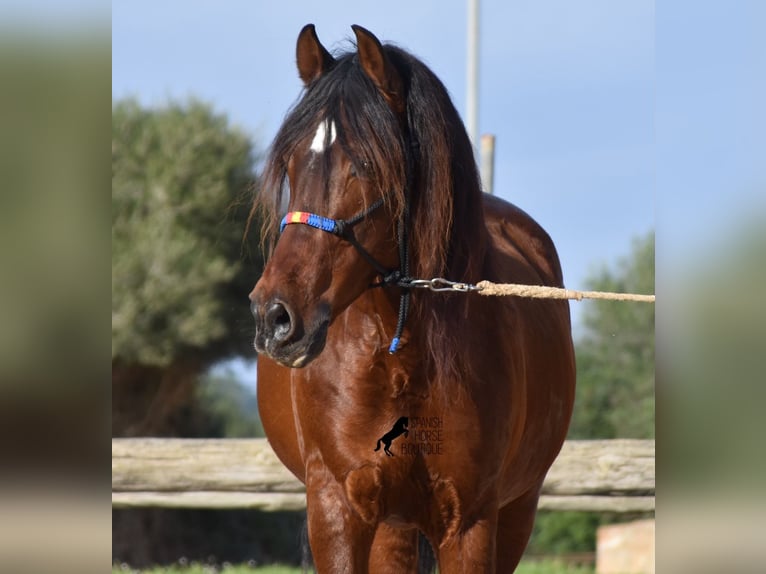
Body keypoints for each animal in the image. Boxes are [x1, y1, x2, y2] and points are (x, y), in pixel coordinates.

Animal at [252, 23, 576, 574]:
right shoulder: (336, 510)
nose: (275, 316)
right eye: (292, 165)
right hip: (392, 524)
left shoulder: (471, 523)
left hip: (513, 510)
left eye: (364, 164)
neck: (397, 354)